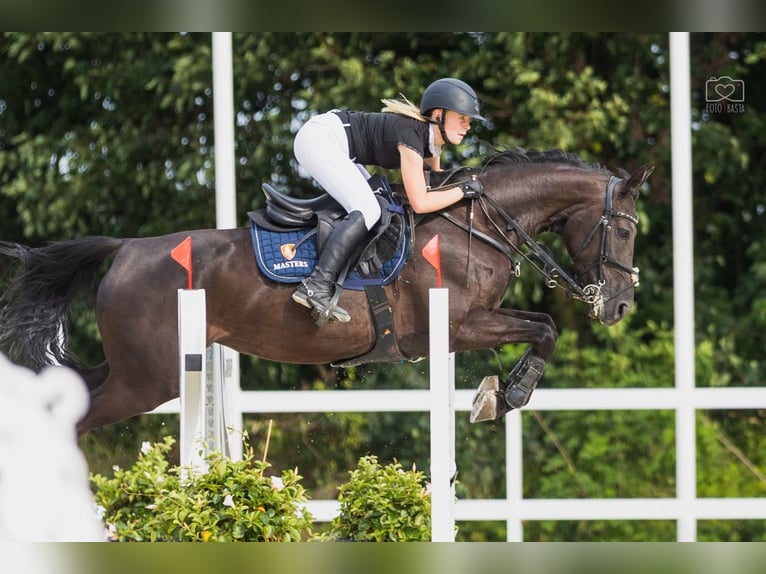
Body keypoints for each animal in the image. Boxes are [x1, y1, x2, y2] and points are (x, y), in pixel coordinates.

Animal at [0, 149, 653, 435]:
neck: (475, 224)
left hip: (136, 369)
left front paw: (498, 394)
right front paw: (505, 396)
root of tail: (127, 249)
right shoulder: (446, 330)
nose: (619, 305)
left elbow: (539, 325)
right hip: (149, 380)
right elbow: (544, 327)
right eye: (623, 230)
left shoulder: (476, 320)